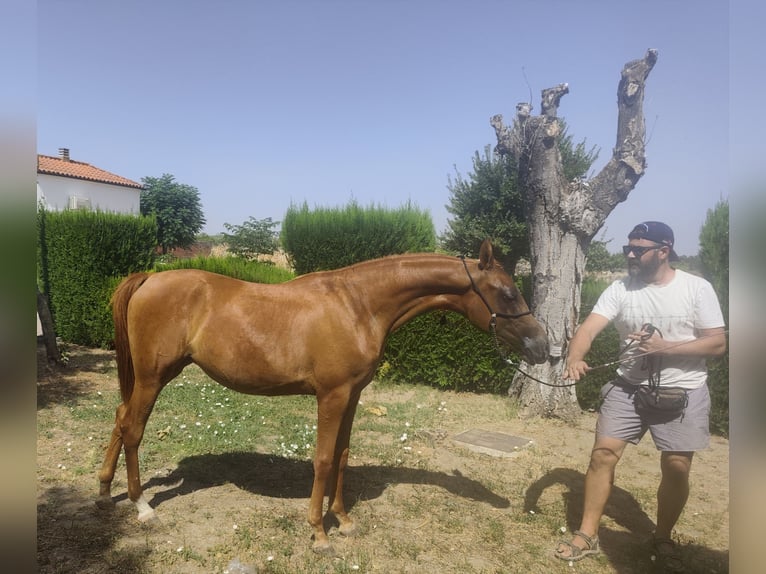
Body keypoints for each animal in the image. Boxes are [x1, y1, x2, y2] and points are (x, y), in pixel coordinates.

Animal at [96, 239, 549, 554]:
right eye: (508, 293)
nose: (542, 346)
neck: (358, 306)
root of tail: (149, 278)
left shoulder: (352, 395)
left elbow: (343, 457)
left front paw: (343, 520)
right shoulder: (331, 396)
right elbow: (324, 459)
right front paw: (319, 533)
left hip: (149, 378)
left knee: (119, 417)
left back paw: (103, 492)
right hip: (154, 377)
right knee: (133, 429)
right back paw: (141, 506)